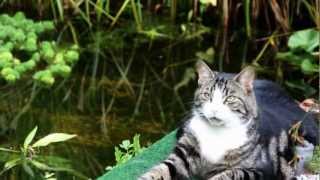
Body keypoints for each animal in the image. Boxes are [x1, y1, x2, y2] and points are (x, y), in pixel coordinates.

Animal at [139, 61, 296, 179]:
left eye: (230, 98)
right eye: (207, 95)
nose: (215, 109)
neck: (216, 132)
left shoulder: (261, 170)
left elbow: (230, 174)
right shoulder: (183, 154)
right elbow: (161, 169)